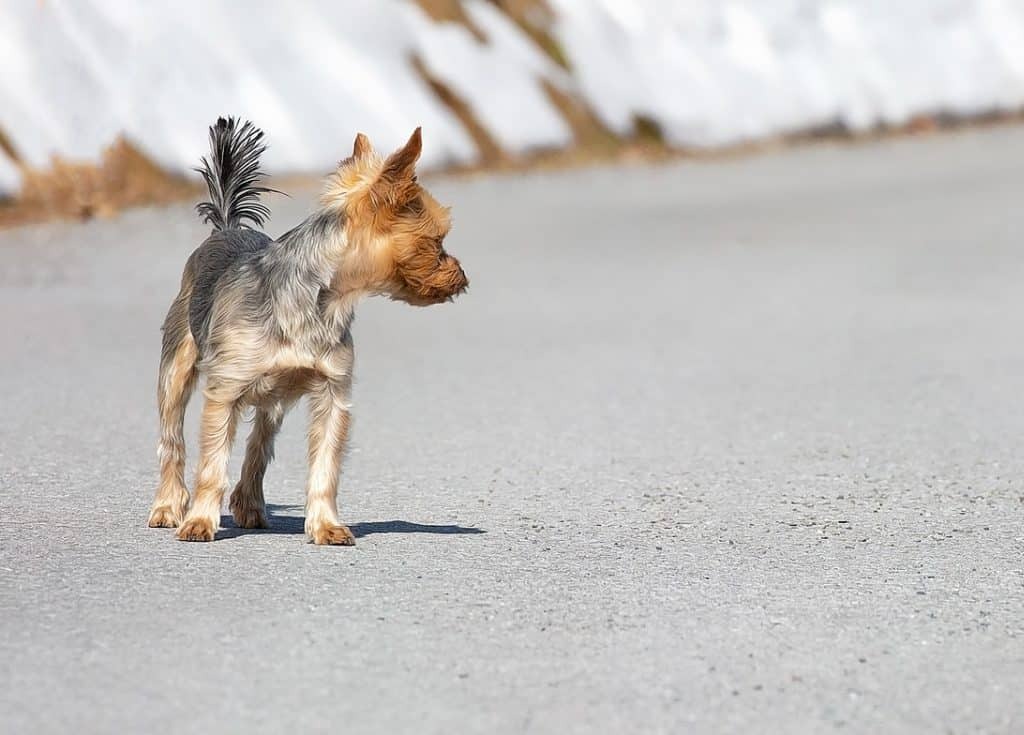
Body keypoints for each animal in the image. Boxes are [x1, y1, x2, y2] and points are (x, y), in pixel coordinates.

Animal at [146, 118, 468, 544]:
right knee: (172, 440)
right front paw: (199, 521)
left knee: (259, 445)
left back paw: (250, 505)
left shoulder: (332, 393)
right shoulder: (225, 391)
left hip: (274, 399)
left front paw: (326, 525)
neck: (315, 302)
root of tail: (226, 228)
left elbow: (325, 468)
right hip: (176, 367)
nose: (462, 276)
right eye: (436, 241)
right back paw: (168, 507)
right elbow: (212, 464)